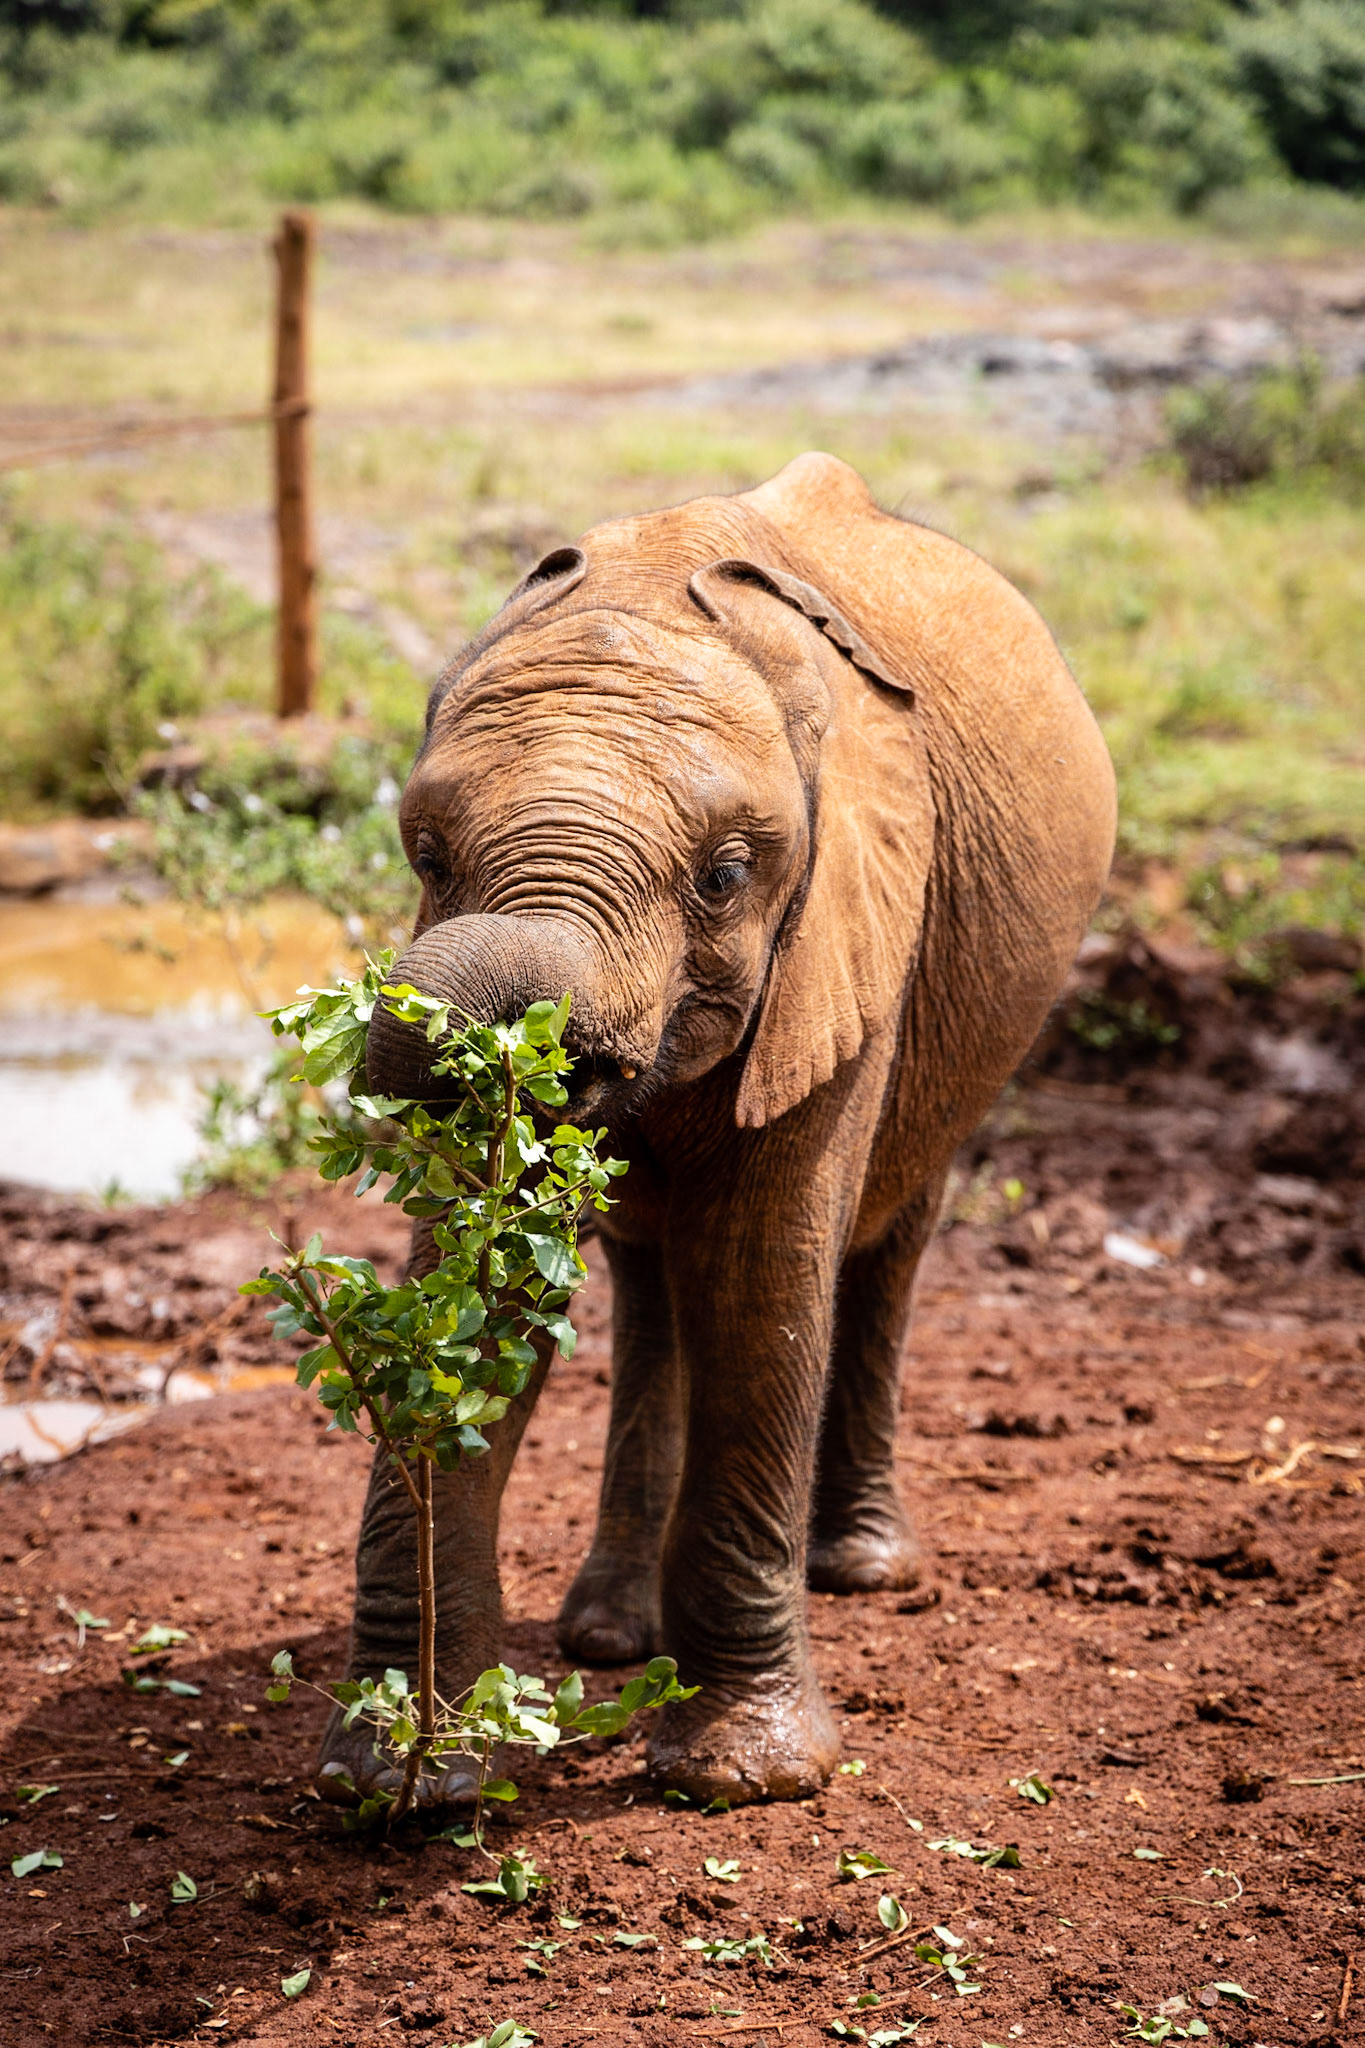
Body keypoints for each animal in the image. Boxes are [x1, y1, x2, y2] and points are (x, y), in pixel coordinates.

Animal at [316, 450, 1116, 1810]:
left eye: (727, 876)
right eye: (424, 853)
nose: (527, 1055)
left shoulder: (849, 928)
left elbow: (762, 1275)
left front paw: (746, 1779)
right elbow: (484, 1290)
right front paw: (400, 1778)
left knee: (883, 1241)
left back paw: (861, 1570)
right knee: (651, 1280)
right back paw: (606, 1636)